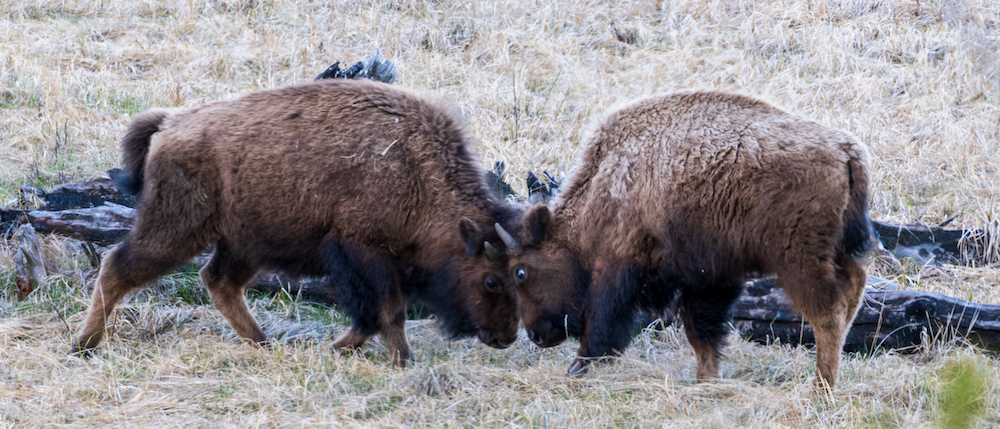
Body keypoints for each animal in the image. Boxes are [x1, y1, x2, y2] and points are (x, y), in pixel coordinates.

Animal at [71, 77, 524, 364]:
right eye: (490, 279)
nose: (506, 338)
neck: (417, 171)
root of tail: (171, 123)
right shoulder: (364, 253)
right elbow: (387, 311)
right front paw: (403, 361)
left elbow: (372, 315)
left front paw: (337, 349)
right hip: (176, 228)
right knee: (117, 267)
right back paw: (85, 346)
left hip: (245, 243)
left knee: (219, 281)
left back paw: (262, 343)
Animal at [504, 90, 872, 388]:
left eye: (521, 272)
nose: (537, 335)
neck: (606, 183)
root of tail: (847, 150)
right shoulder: (709, 279)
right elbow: (703, 333)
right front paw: (706, 381)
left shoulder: (618, 266)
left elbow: (603, 322)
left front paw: (578, 368)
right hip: (839, 250)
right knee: (853, 290)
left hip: (798, 259)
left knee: (827, 312)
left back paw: (822, 388)